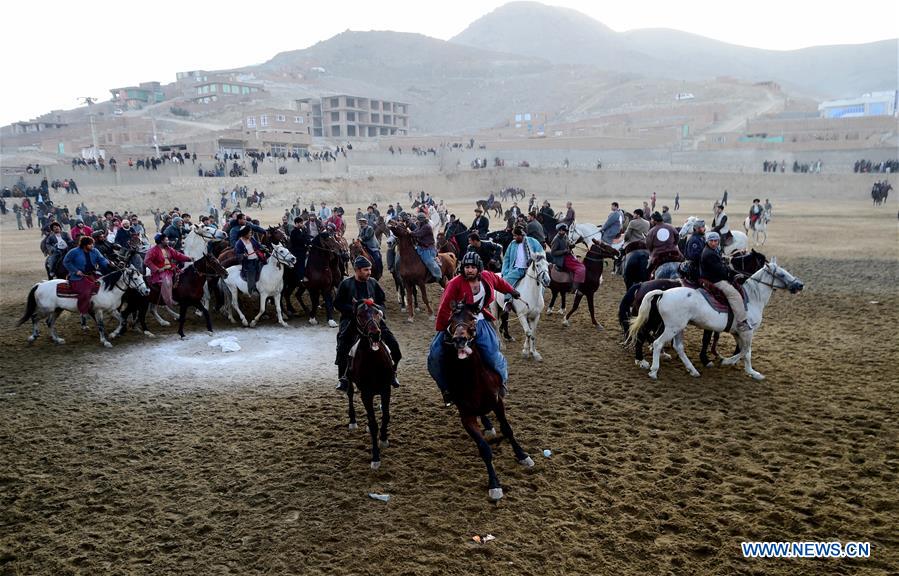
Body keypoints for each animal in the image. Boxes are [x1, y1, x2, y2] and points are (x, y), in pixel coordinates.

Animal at [18, 268, 149, 348]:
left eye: (143, 277)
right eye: (135, 278)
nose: (146, 291)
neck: (107, 290)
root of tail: (40, 284)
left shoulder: (112, 310)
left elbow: (123, 321)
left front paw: (113, 334)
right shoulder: (99, 311)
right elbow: (101, 325)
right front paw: (105, 341)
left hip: (57, 310)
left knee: (49, 322)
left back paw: (57, 339)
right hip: (46, 309)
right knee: (35, 317)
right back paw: (33, 337)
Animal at [344, 300, 394, 470]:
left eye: (377, 312)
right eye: (359, 315)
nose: (375, 334)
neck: (373, 361)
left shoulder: (386, 389)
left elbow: (386, 415)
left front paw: (384, 438)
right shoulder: (366, 394)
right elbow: (373, 425)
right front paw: (376, 457)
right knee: (350, 394)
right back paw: (353, 421)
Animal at [442, 302, 536, 500]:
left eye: (472, 318)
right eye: (451, 320)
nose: (459, 340)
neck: (473, 379)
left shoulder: (497, 402)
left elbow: (507, 430)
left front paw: (522, 455)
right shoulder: (466, 416)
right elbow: (484, 449)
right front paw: (494, 485)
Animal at [628, 258, 804, 380]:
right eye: (781, 274)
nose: (800, 285)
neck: (752, 298)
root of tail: (663, 292)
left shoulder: (738, 332)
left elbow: (742, 350)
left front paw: (732, 363)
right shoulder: (748, 331)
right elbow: (747, 352)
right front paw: (748, 371)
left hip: (678, 328)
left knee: (678, 347)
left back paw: (693, 370)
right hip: (671, 328)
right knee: (657, 343)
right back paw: (653, 370)